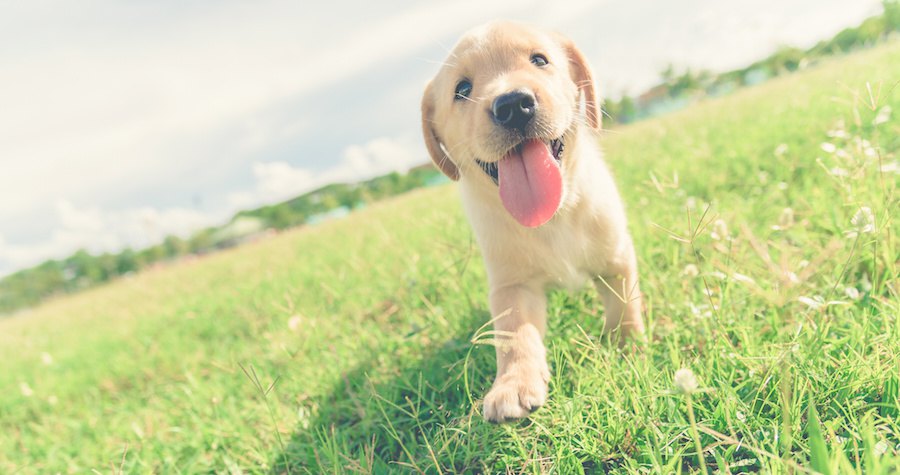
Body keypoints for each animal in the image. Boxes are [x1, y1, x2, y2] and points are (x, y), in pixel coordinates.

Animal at [424, 23, 648, 424]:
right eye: (462, 89)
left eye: (539, 60)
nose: (513, 105)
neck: (553, 216)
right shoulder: (513, 285)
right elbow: (515, 335)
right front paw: (513, 384)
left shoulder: (615, 256)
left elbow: (625, 305)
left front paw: (627, 348)